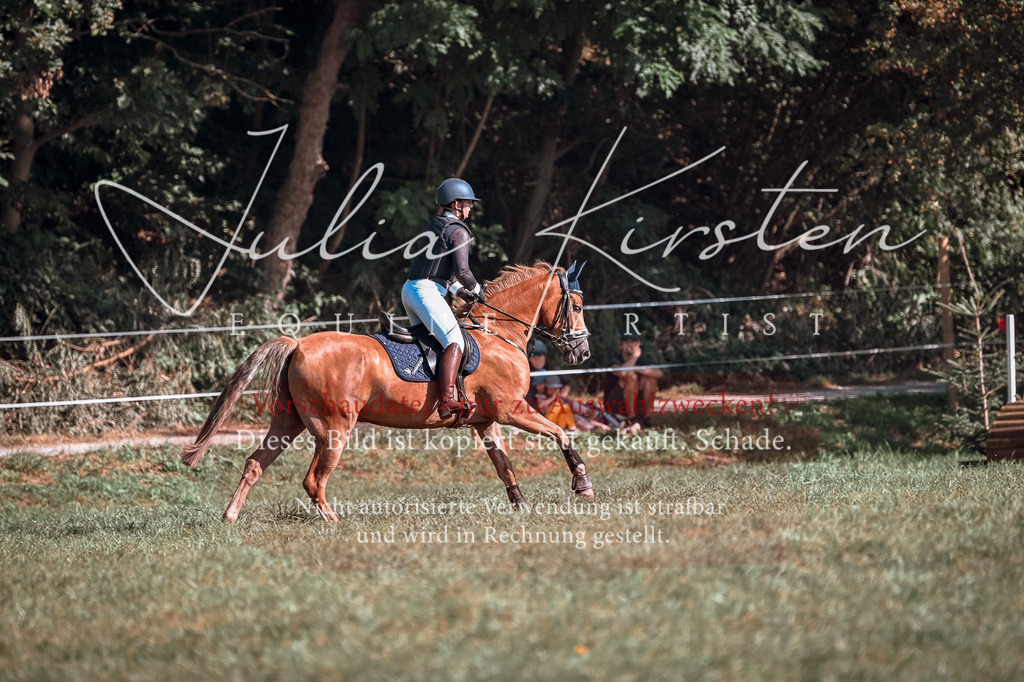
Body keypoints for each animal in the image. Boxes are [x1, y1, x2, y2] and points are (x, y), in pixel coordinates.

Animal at [182, 261, 595, 523]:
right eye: (575, 306)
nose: (583, 352)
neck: (498, 332)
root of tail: (298, 343)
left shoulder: (487, 421)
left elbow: (504, 465)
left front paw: (521, 507)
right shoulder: (513, 409)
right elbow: (561, 433)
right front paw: (583, 484)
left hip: (288, 422)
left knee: (255, 463)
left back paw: (230, 516)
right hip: (334, 429)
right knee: (314, 480)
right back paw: (334, 522)